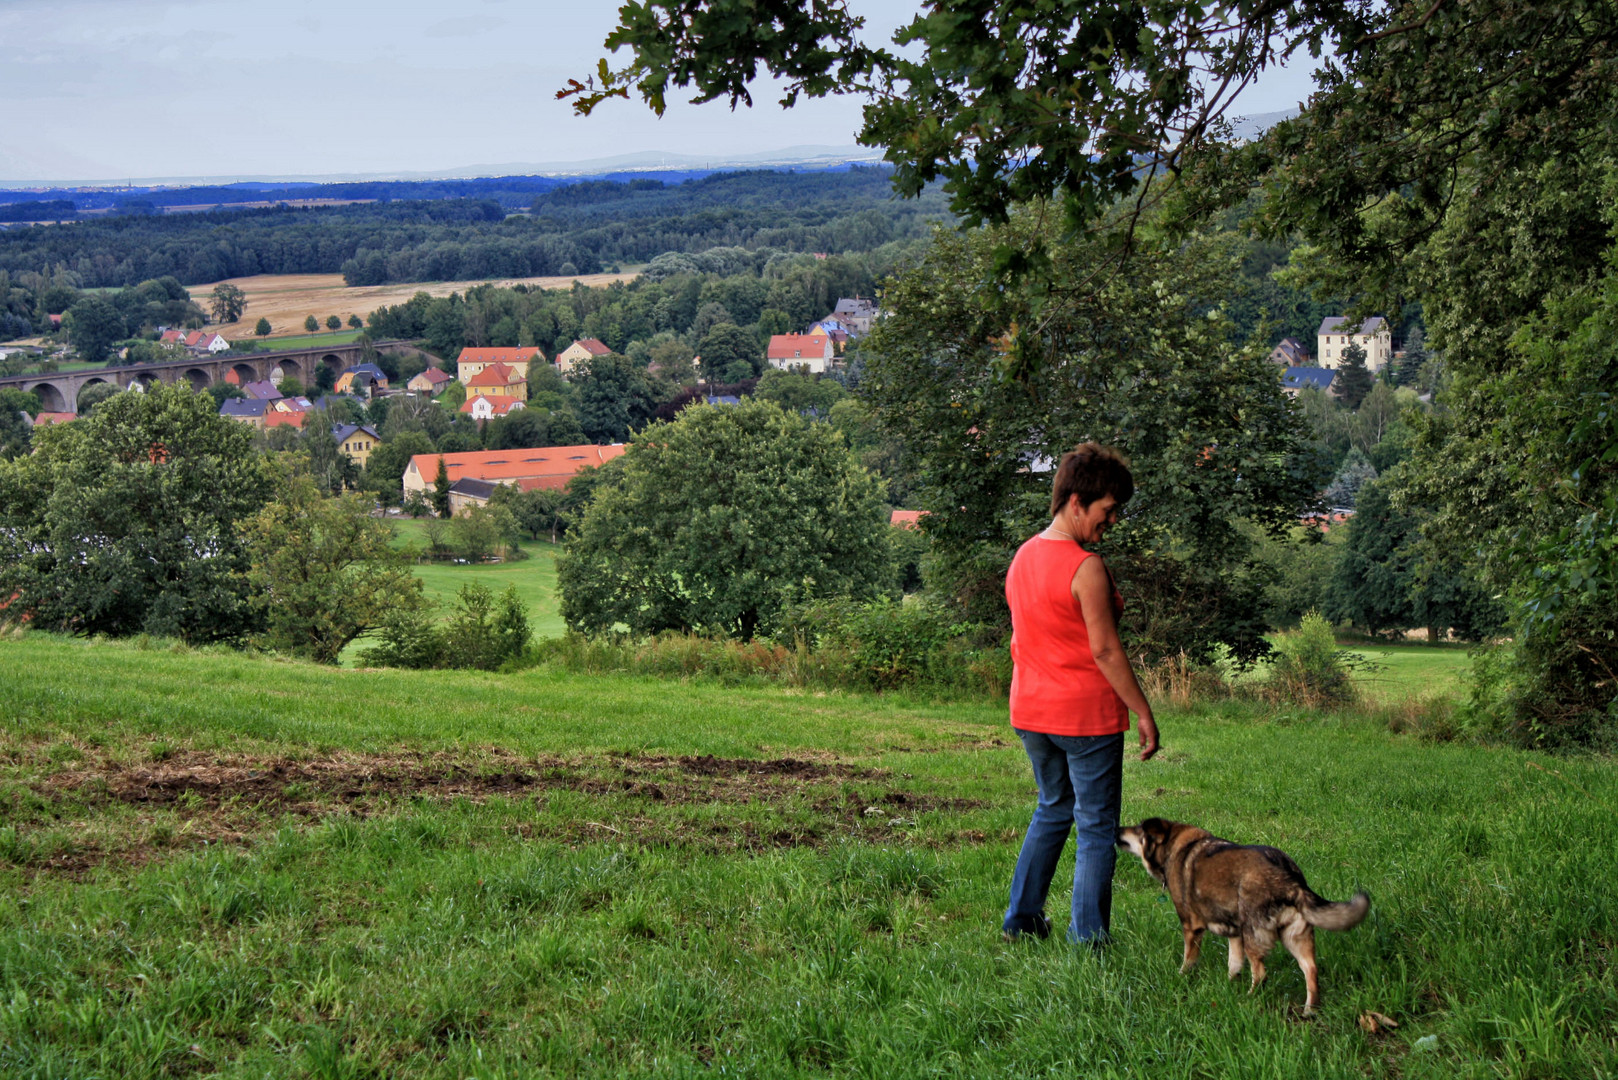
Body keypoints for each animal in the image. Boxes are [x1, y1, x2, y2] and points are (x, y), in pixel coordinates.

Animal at [1119, 819, 1372, 1016]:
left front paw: (1182, 977)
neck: (1174, 846)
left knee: (1261, 974)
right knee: (1311, 969)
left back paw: (1249, 999)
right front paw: (1230, 983)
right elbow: (1234, 963)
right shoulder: (1234, 933)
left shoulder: (1191, 926)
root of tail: (1290, 880)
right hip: (1295, 935)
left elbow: (1189, 959)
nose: (1118, 828)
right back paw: (1309, 1010)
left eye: (1138, 829)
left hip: (1254, 934)